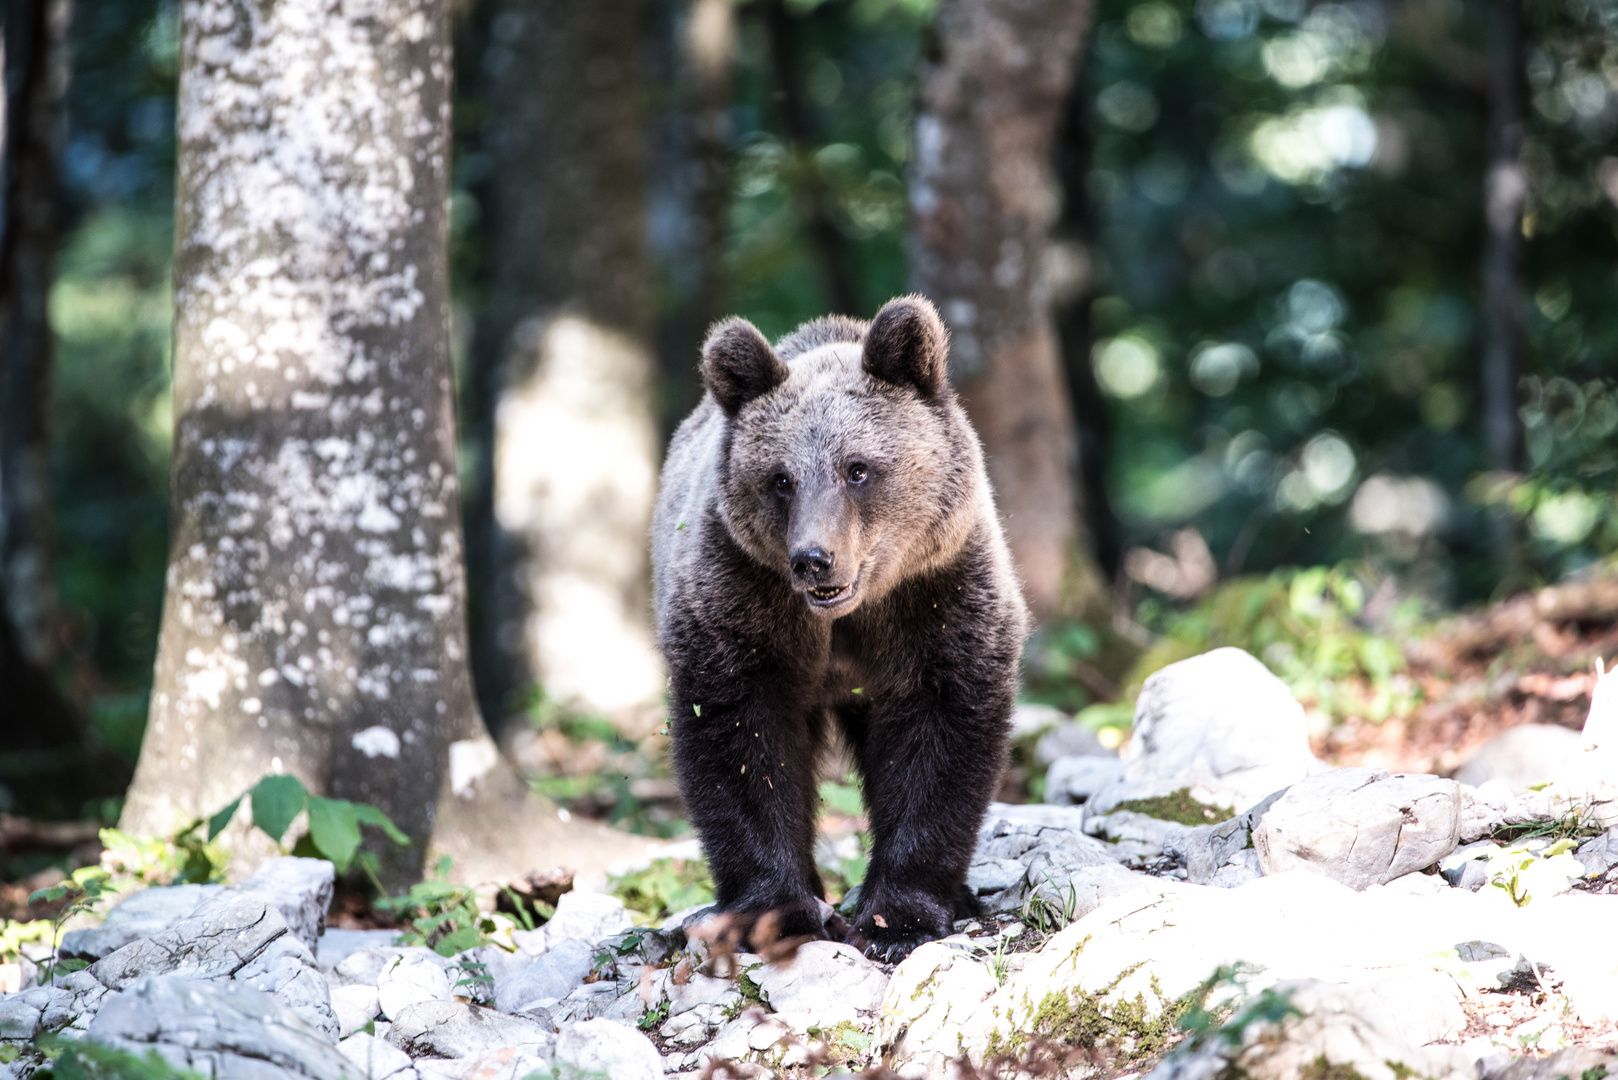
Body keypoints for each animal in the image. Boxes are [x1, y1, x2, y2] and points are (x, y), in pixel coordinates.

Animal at [643, 296, 1022, 965]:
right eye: (780, 477)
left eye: (857, 469)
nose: (813, 559)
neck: (845, 617)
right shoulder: (741, 603)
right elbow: (744, 744)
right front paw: (778, 911)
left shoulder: (937, 595)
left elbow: (941, 733)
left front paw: (899, 918)